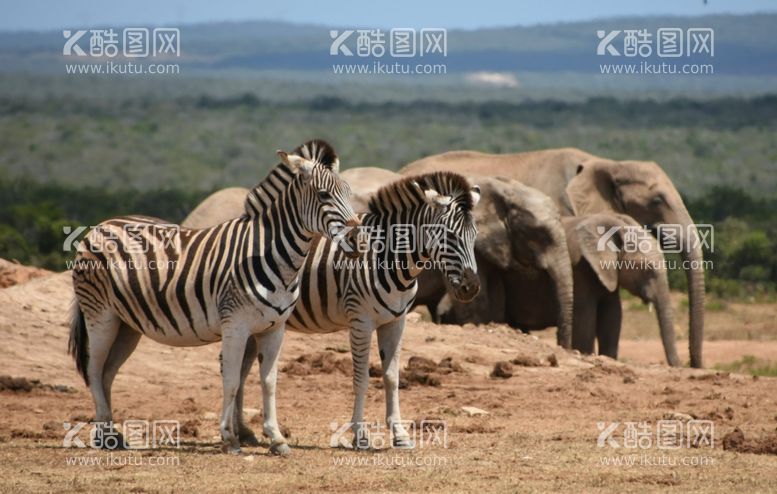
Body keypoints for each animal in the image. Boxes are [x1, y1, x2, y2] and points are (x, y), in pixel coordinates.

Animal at [68, 139, 360, 456]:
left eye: (349, 193)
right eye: (323, 195)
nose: (359, 240)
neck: (272, 254)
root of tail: (100, 225)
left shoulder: (275, 328)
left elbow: (269, 382)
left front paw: (277, 438)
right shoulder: (235, 325)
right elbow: (231, 381)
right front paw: (229, 438)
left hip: (127, 325)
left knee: (107, 373)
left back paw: (112, 435)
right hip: (100, 315)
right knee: (94, 370)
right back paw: (103, 435)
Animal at [233, 172, 482, 450]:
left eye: (474, 236)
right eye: (449, 236)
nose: (472, 287)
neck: (389, 257)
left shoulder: (396, 321)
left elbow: (392, 377)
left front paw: (399, 434)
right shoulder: (361, 321)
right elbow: (362, 379)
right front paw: (360, 435)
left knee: (240, 372)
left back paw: (243, 432)